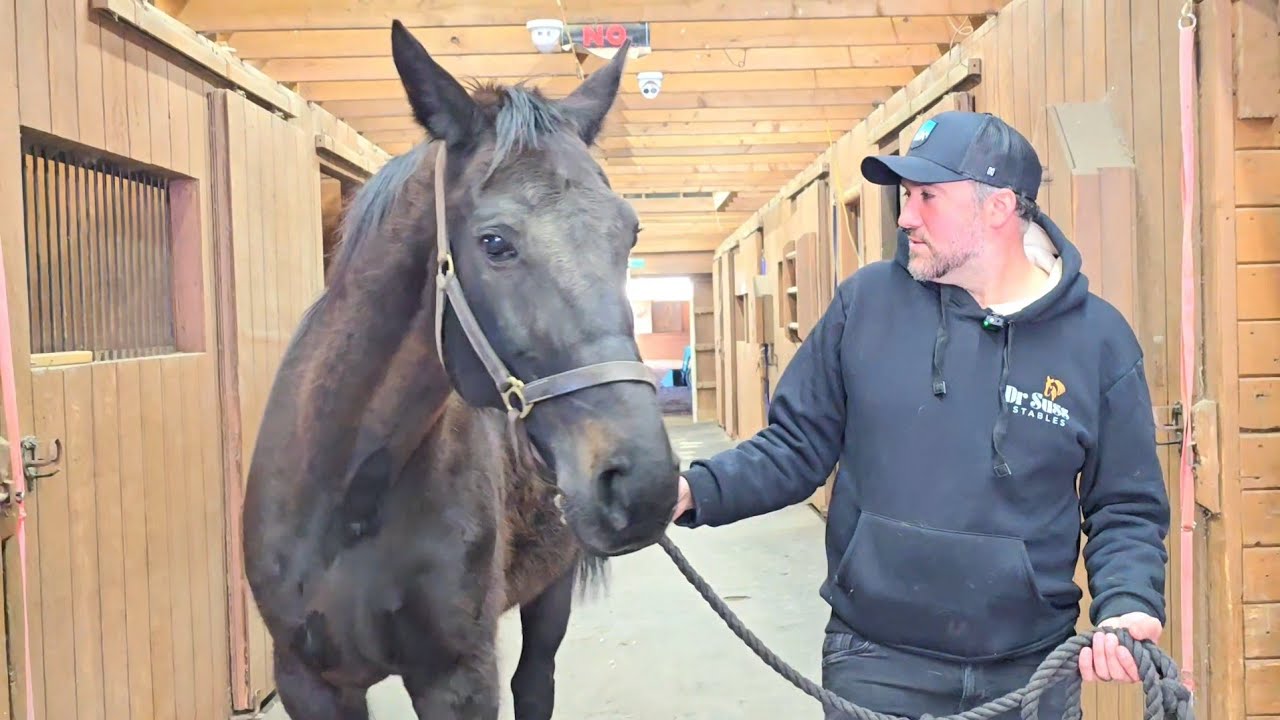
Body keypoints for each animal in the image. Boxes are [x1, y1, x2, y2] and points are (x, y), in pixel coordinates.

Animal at [241, 20, 681, 719]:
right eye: (494, 243)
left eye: (629, 234)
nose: (643, 485)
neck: (349, 497)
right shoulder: (307, 681)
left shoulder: (458, 679)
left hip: (551, 590)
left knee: (536, 681)